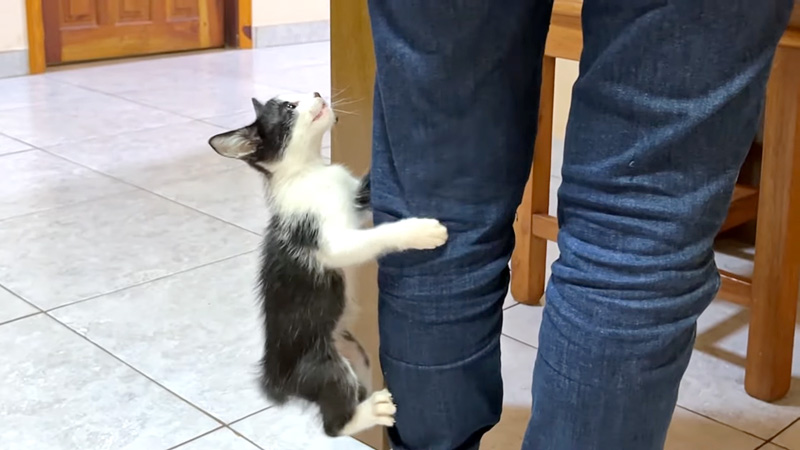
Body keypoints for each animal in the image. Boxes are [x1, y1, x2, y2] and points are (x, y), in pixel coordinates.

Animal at [208, 91, 450, 436]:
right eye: (289, 108)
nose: (316, 93)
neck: (309, 173)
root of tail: (275, 379)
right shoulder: (326, 242)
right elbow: (376, 236)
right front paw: (420, 231)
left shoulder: (355, 199)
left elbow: (367, 189)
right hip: (325, 368)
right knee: (333, 425)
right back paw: (372, 411)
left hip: (355, 351)